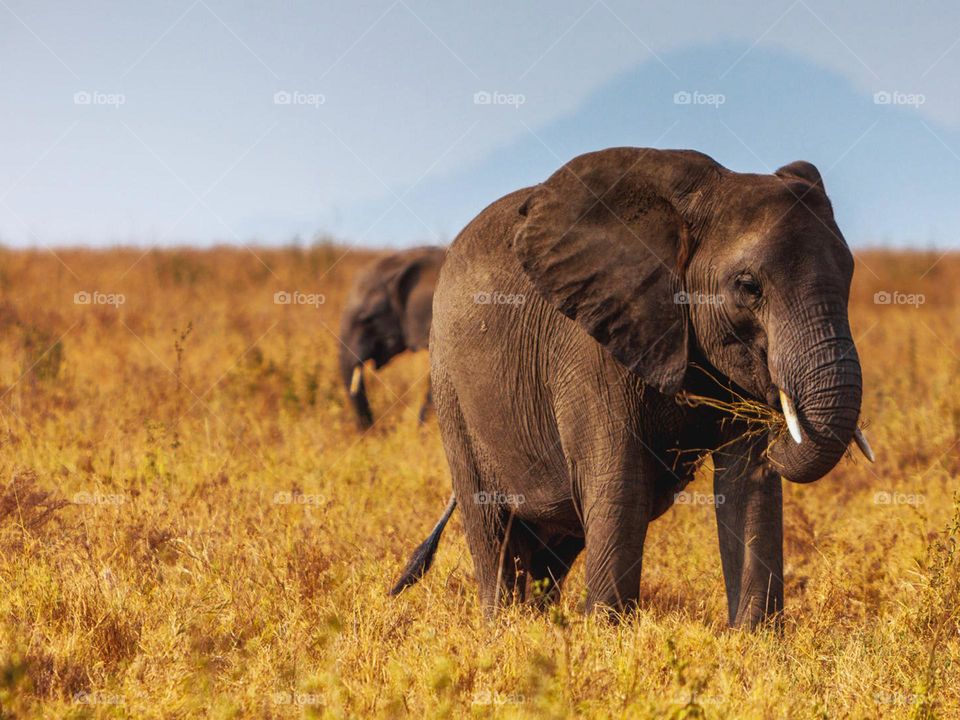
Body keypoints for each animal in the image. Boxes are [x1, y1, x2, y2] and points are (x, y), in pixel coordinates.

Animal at [392, 148, 876, 632]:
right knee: (493, 528)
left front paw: (752, 639)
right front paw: (607, 635)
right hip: (450, 389)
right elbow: (620, 481)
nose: (785, 429)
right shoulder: (591, 343)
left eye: (850, 274)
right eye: (748, 286)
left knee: (556, 541)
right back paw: (504, 629)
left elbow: (749, 484)